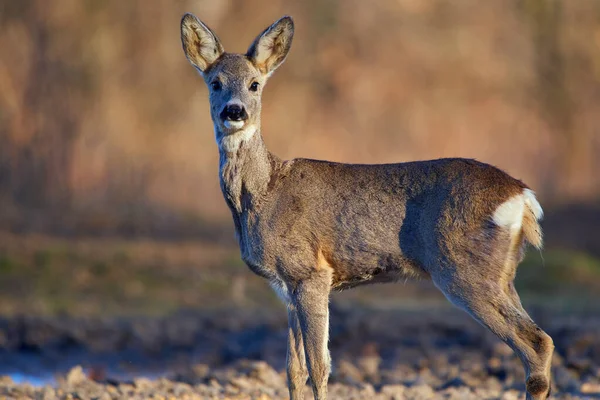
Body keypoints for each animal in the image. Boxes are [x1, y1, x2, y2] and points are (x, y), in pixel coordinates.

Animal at [182, 13, 552, 400]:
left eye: (254, 84)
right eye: (215, 82)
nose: (234, 111)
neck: (263, 192)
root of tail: (522, 195)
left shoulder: (311, 272)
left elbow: (319, 366)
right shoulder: (286, 286)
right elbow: (293, 370)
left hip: (464, 268)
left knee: (536, 342)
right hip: (503, 275)